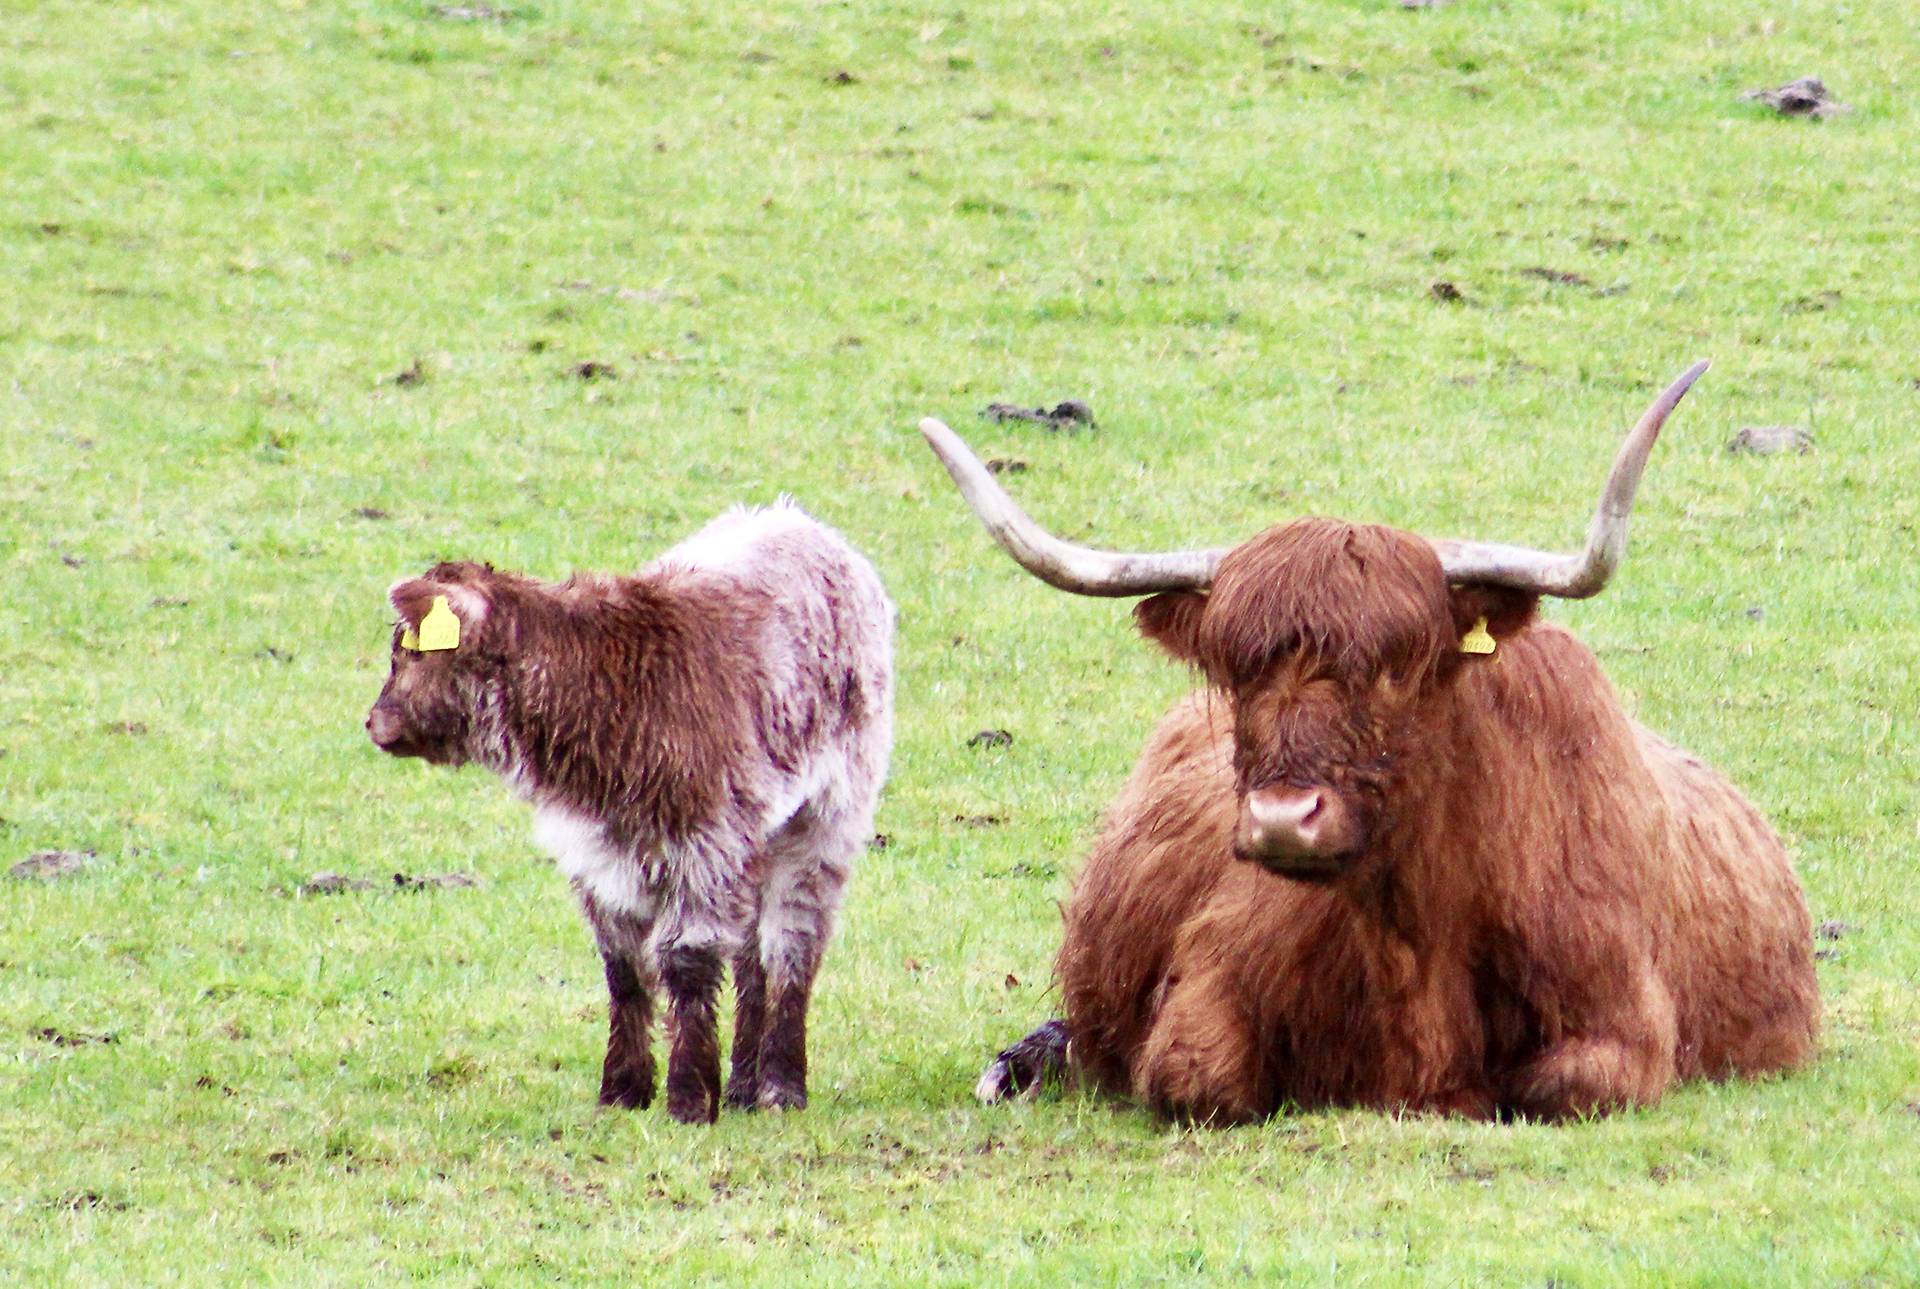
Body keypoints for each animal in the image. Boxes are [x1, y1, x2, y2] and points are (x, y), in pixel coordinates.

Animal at [364, 499, 890, 1121]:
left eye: (408, 651)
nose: (373, 721)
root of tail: (795, 521)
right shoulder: (595, 850)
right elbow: (624, 968)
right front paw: (623, 1089)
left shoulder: (705, 837)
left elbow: (687, 959)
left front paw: (689, 1097)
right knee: (750, 951)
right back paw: (742, 1086)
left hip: (830, 810)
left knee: (792, 939)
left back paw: (781, 1086)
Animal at [921, 361, 1820, 1121]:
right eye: (1235, 672)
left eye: (1398, 666)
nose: (1283, 818)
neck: (1411, 936)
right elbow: (1192, 1078)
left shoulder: (1623, 1020)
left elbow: (1560, 1086)